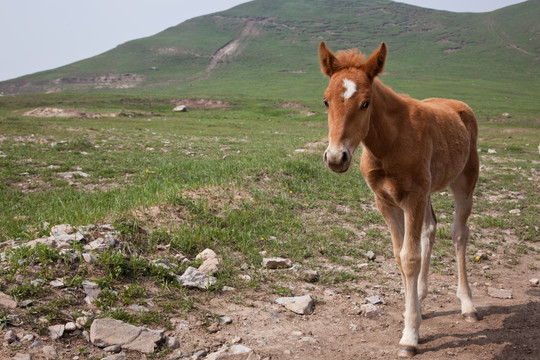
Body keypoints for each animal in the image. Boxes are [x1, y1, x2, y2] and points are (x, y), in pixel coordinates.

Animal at [318, 40, 478, 356]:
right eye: (327, 101)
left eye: (366, 103)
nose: (336, 157)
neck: (389, 143)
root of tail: (460, 107)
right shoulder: (386, 201)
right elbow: (399, 256)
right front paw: (411, 311)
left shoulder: (413, 197)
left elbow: (410, 257)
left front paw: (410, 336)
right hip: (428, 192)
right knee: (430, 229)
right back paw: (423, 295)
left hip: (464, 181)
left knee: (459, 234)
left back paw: (467, 305)